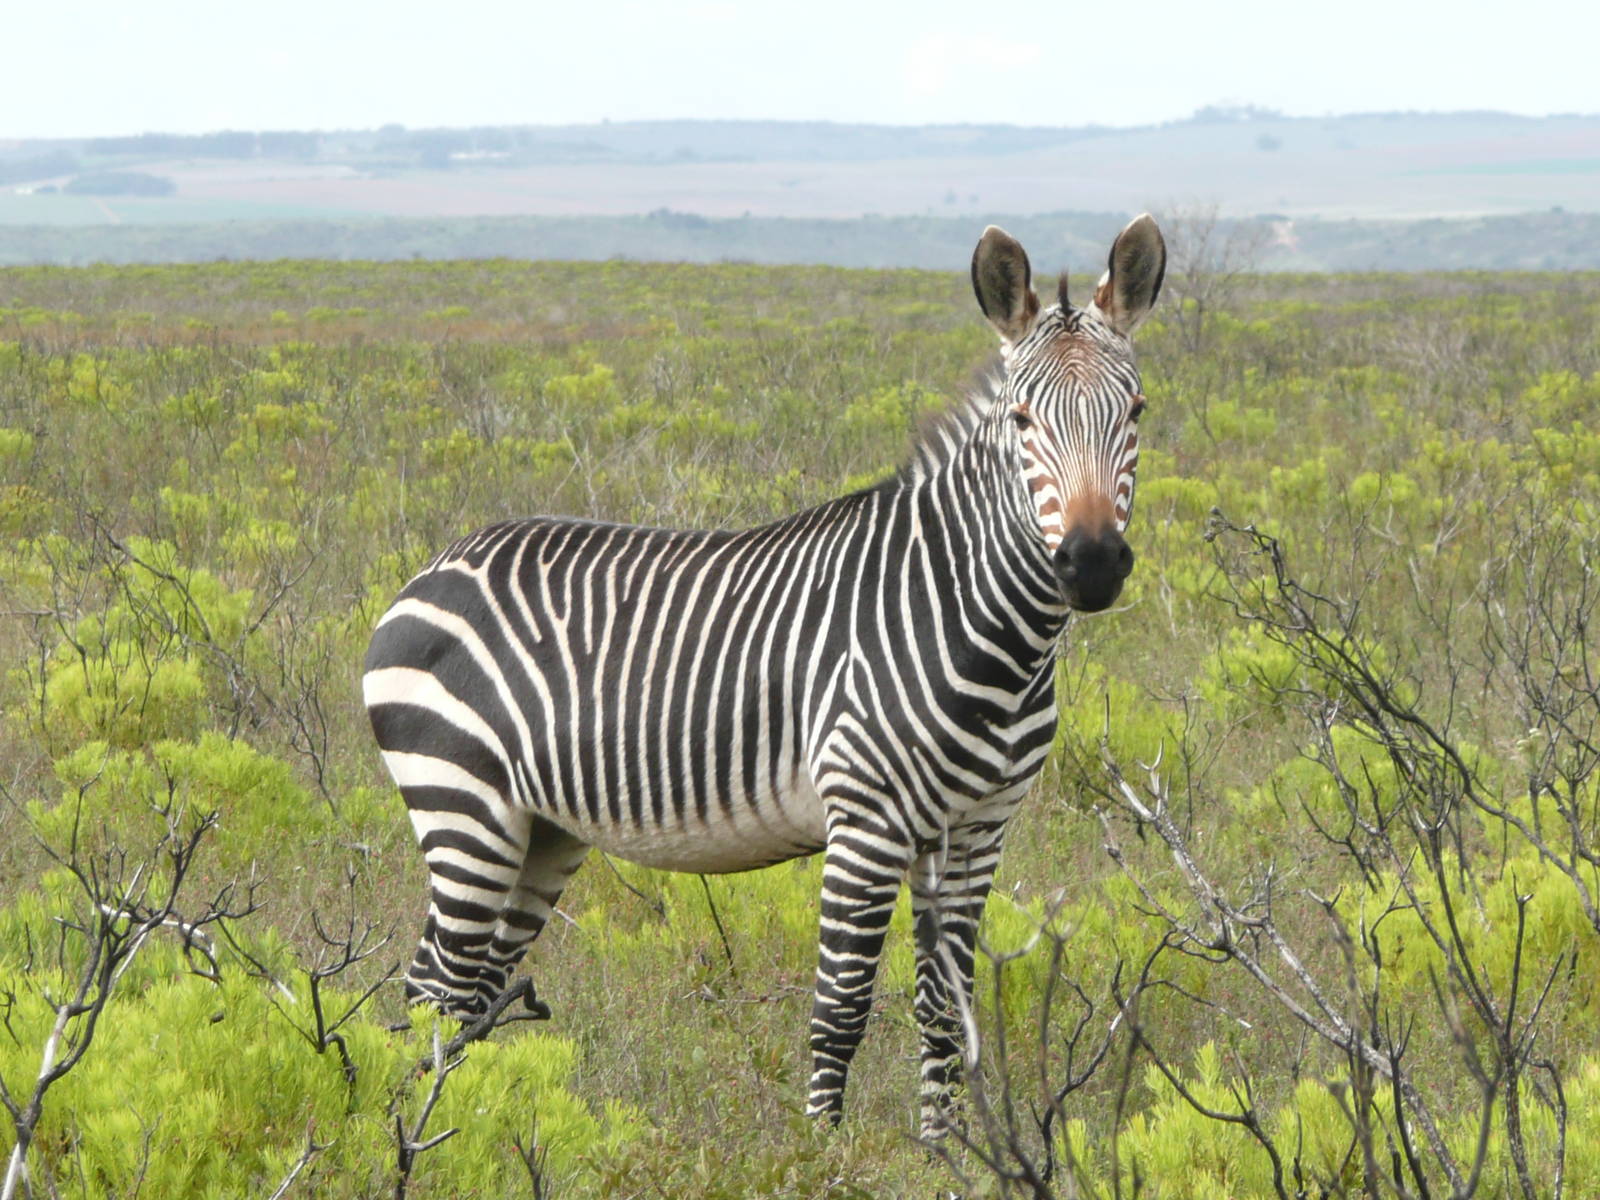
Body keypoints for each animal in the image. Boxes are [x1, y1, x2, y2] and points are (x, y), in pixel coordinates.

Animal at [363, 214, 1166, 1135]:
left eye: (1136, 410)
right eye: (1024, 419)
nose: (1093, 563)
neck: (985, 629)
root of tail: (434, 567)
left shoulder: (979, 826)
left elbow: (944, 1008)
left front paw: (946, 1149)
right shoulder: (867, 819)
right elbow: (841, 1007)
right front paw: (821, 1151)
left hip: (540, 831)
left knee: (470, 993)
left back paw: (474, 1124)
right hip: (465, 805)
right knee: (435, 988)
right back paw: (430, 1134)